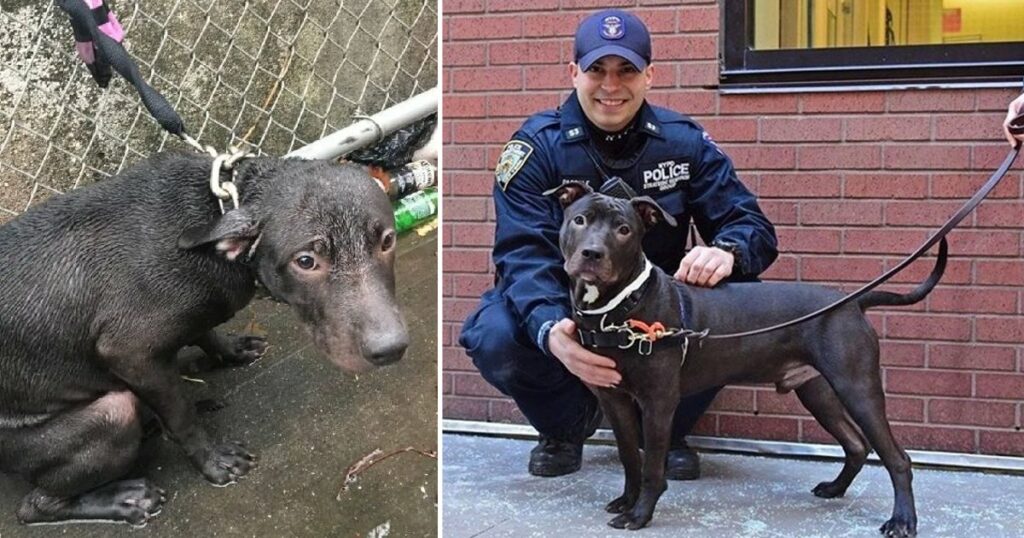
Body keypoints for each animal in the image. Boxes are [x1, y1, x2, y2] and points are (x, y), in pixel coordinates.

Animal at [0, 150, 407, 524]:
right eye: (305, 261)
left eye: (387, 241)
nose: (391, 349)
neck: (220, 213)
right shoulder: (130, 352)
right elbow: (182, 416)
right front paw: (214, 462)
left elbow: (205, 332)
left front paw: (231, 350)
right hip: (110, 415)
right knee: (33, 506)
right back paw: (124, 500)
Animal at [552, 182, 942, 532]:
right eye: (580, 220)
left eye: (624, 230)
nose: (592, 253)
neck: (621, 307)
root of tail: (852, 302)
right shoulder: (614, 399)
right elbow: (630, 457)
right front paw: (627, 501)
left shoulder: (658, 402)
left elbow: (650, 467)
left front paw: (640, 515)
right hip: (818, 391)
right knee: (856, 444)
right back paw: (835, 488)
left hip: (857, 388)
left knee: (897, 459)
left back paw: (902, 521)